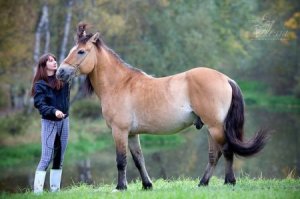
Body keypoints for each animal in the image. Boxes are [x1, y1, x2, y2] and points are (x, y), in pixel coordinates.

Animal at [56, 22, 270, 190]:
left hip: (215, 127)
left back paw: (229, 181)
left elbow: (121, 160)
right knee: (214, 154)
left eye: (81, 51)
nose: (60, 72)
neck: (120, 84)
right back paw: (203, 183)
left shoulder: (119, 131)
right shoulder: (132, 134)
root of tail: (225, 78)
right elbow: (138, 159)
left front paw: (121, 187)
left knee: (225, 151)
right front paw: (147, 185)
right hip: (212, 128)